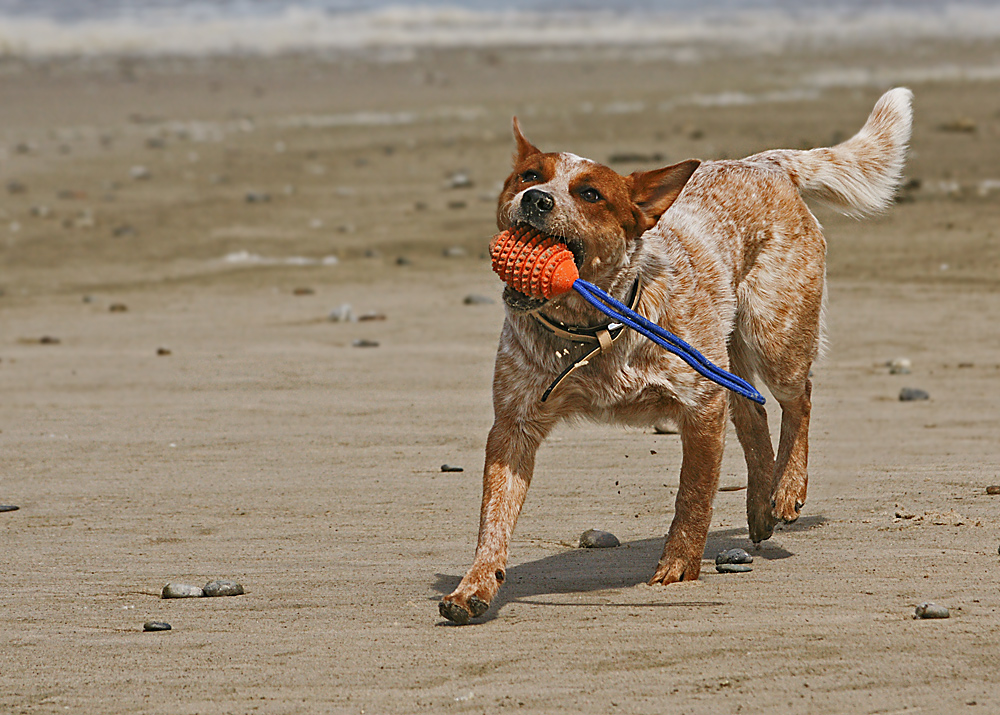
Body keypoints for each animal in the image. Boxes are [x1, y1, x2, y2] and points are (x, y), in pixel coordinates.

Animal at [442, 91, 912, 628]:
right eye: (529, 175)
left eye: (591, 195)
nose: (537, 199)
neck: (594, 329)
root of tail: (763, 163)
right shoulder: (513, 425)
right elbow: (493, 518)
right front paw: (474, 586)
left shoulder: (701, 405)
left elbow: (694, 493)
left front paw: (679, 566)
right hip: (728, 354)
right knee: (752, 414)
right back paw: (760, 505)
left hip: (774, 335)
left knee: (800, 398)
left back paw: (788, 487)